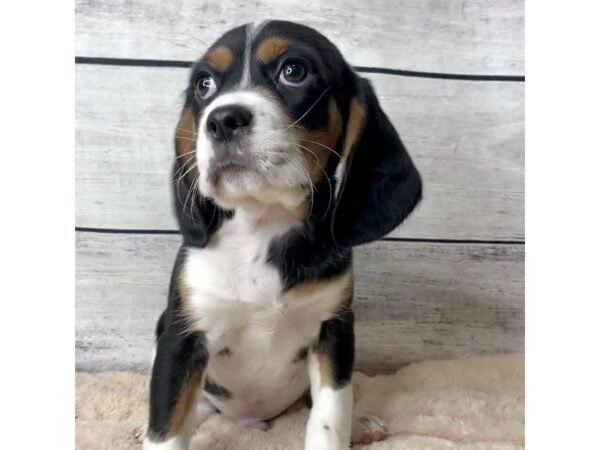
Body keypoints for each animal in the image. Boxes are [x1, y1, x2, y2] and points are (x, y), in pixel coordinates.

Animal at [144, 19, 422, 448]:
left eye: (294, 71)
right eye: (204, 84)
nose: (221, 119)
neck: (262, 224)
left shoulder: (334, 332)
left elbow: (329, 418)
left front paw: (343, 426)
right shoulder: (181, 338)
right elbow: (166, 427)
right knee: (199, 409)